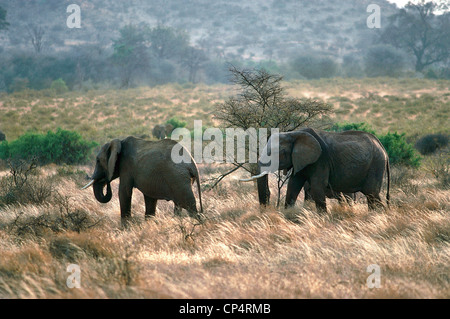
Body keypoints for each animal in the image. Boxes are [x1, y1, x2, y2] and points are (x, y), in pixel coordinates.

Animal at [239, 128, 390, 215]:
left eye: (277, 153)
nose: (265, 210)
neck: (294, 134)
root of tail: (383, 149)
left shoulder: (320, 160)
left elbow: (317, 187)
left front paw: (322, 218)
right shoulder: (300, 160)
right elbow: (293, 185)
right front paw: (288, 214)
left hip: (376, 164)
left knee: (371, 193)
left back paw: (377, 216)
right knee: (371, 196)